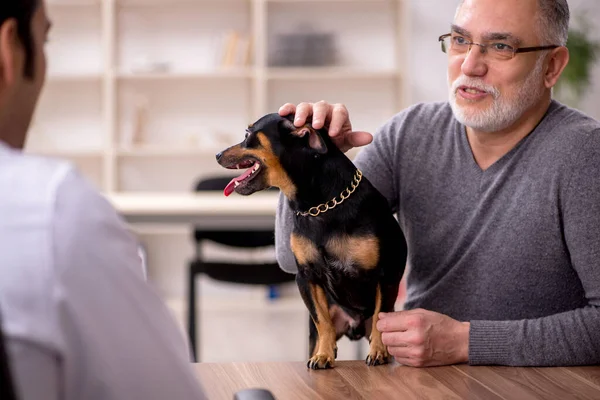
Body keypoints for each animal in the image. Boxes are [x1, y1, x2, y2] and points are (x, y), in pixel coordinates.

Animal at [216, 112, 408, 368]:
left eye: (248, 134)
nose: (217, 154)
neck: (318, 206)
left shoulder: (386, 274)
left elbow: (380, 316)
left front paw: (378, 352)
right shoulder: (306, 277)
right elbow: (322, 321)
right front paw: (323, 355)